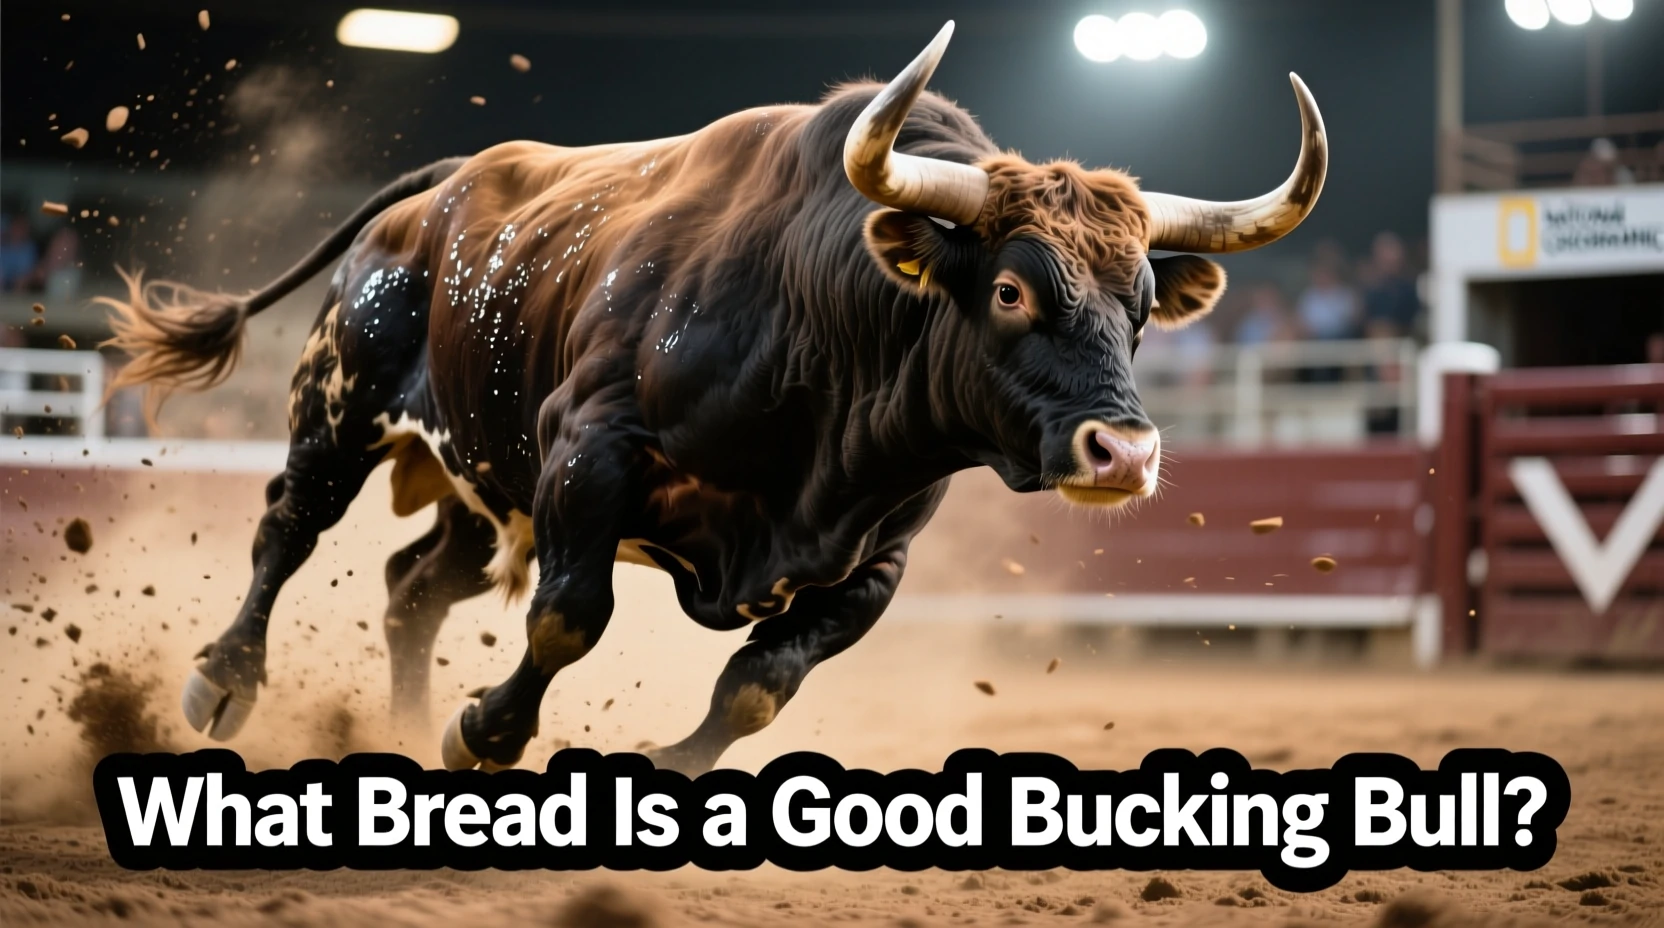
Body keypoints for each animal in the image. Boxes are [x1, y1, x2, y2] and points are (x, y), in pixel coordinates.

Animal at [100, 22, 1326, 774]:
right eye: (1012, 288)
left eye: (1140, 305)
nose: (1123, 453)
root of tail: (439, 192)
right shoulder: (587, 455)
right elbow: (570, 615)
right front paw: (482, 731)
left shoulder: (871, 562)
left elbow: (758, 687)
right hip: (342, 404)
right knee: (289, 528)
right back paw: (220, 681)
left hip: (480, 480)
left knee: (411, 589)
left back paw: (394, 737)